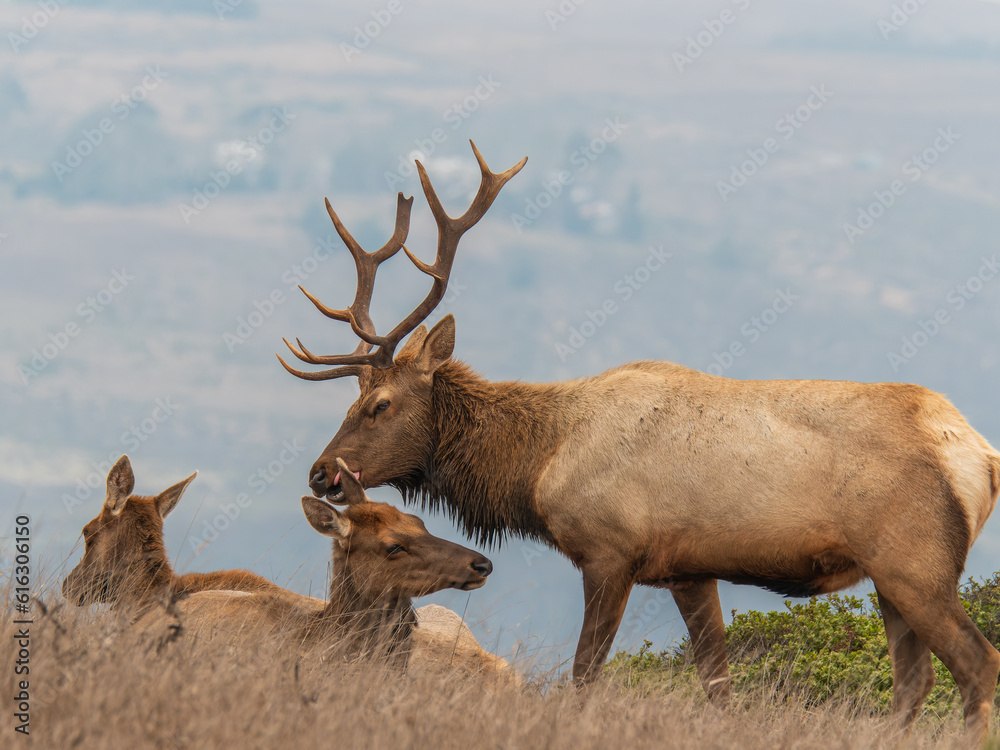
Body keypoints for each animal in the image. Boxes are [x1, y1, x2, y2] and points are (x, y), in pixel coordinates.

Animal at [276, 140, 1000, 742]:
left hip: (916, 562)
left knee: (976, 663)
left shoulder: (609, 551)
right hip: (890, 577)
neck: (538, 465)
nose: (321, 473)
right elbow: (716, 681)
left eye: (379, 404)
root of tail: (978, 453)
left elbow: (584, 671)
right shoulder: (688, 569)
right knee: (914, 680)